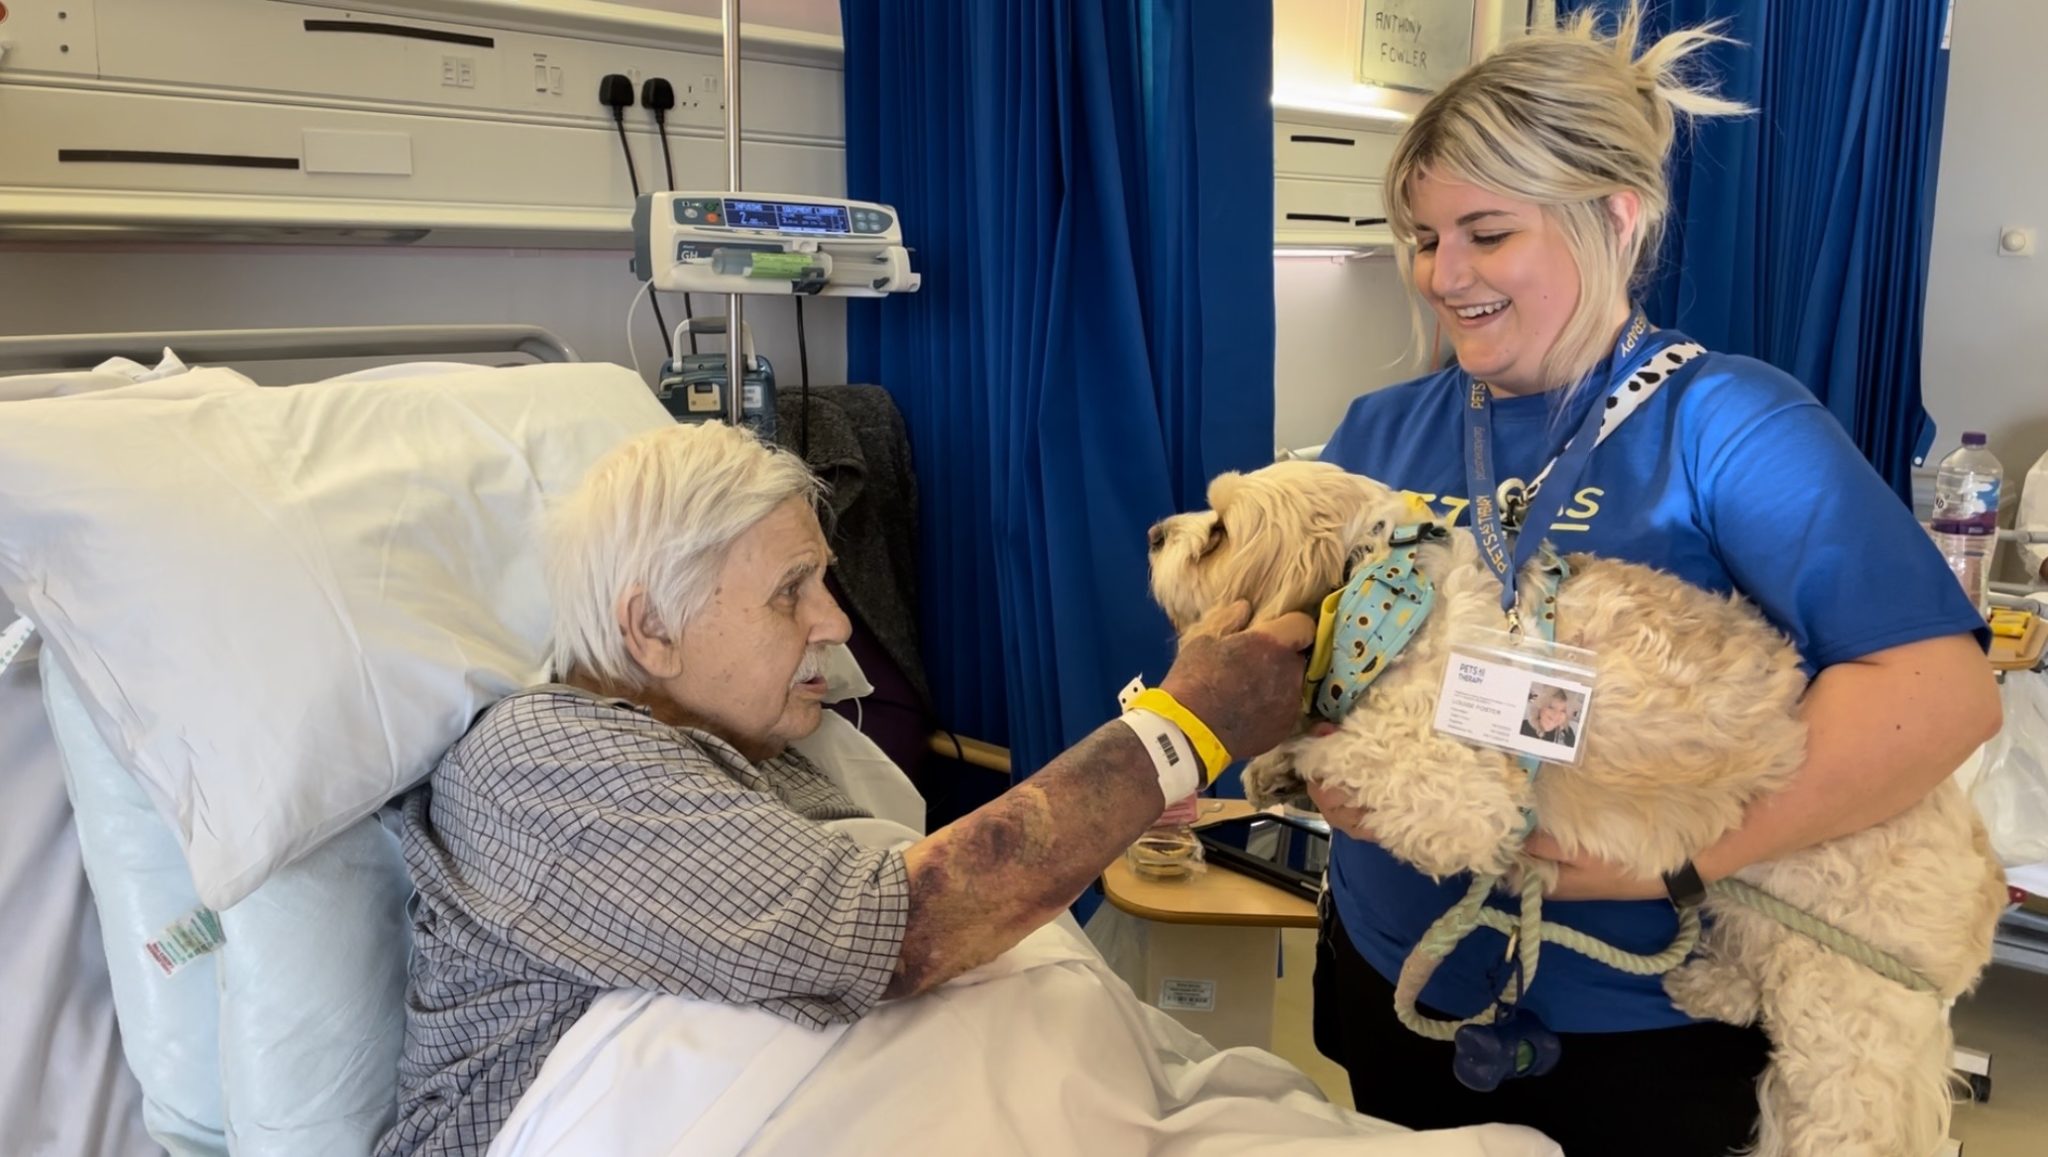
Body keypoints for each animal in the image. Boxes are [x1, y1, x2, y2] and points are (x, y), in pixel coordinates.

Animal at [1146, 458, 2007, 1154]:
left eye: (1218, 531)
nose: (1156, 529)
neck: (1390, 598)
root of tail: (1984, 879)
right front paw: (1273, 768)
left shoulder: (1456, 789)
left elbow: (1353, 747)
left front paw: (1290, 753)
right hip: (1764, 909)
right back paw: (1709, 986)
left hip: (1850, 1016)